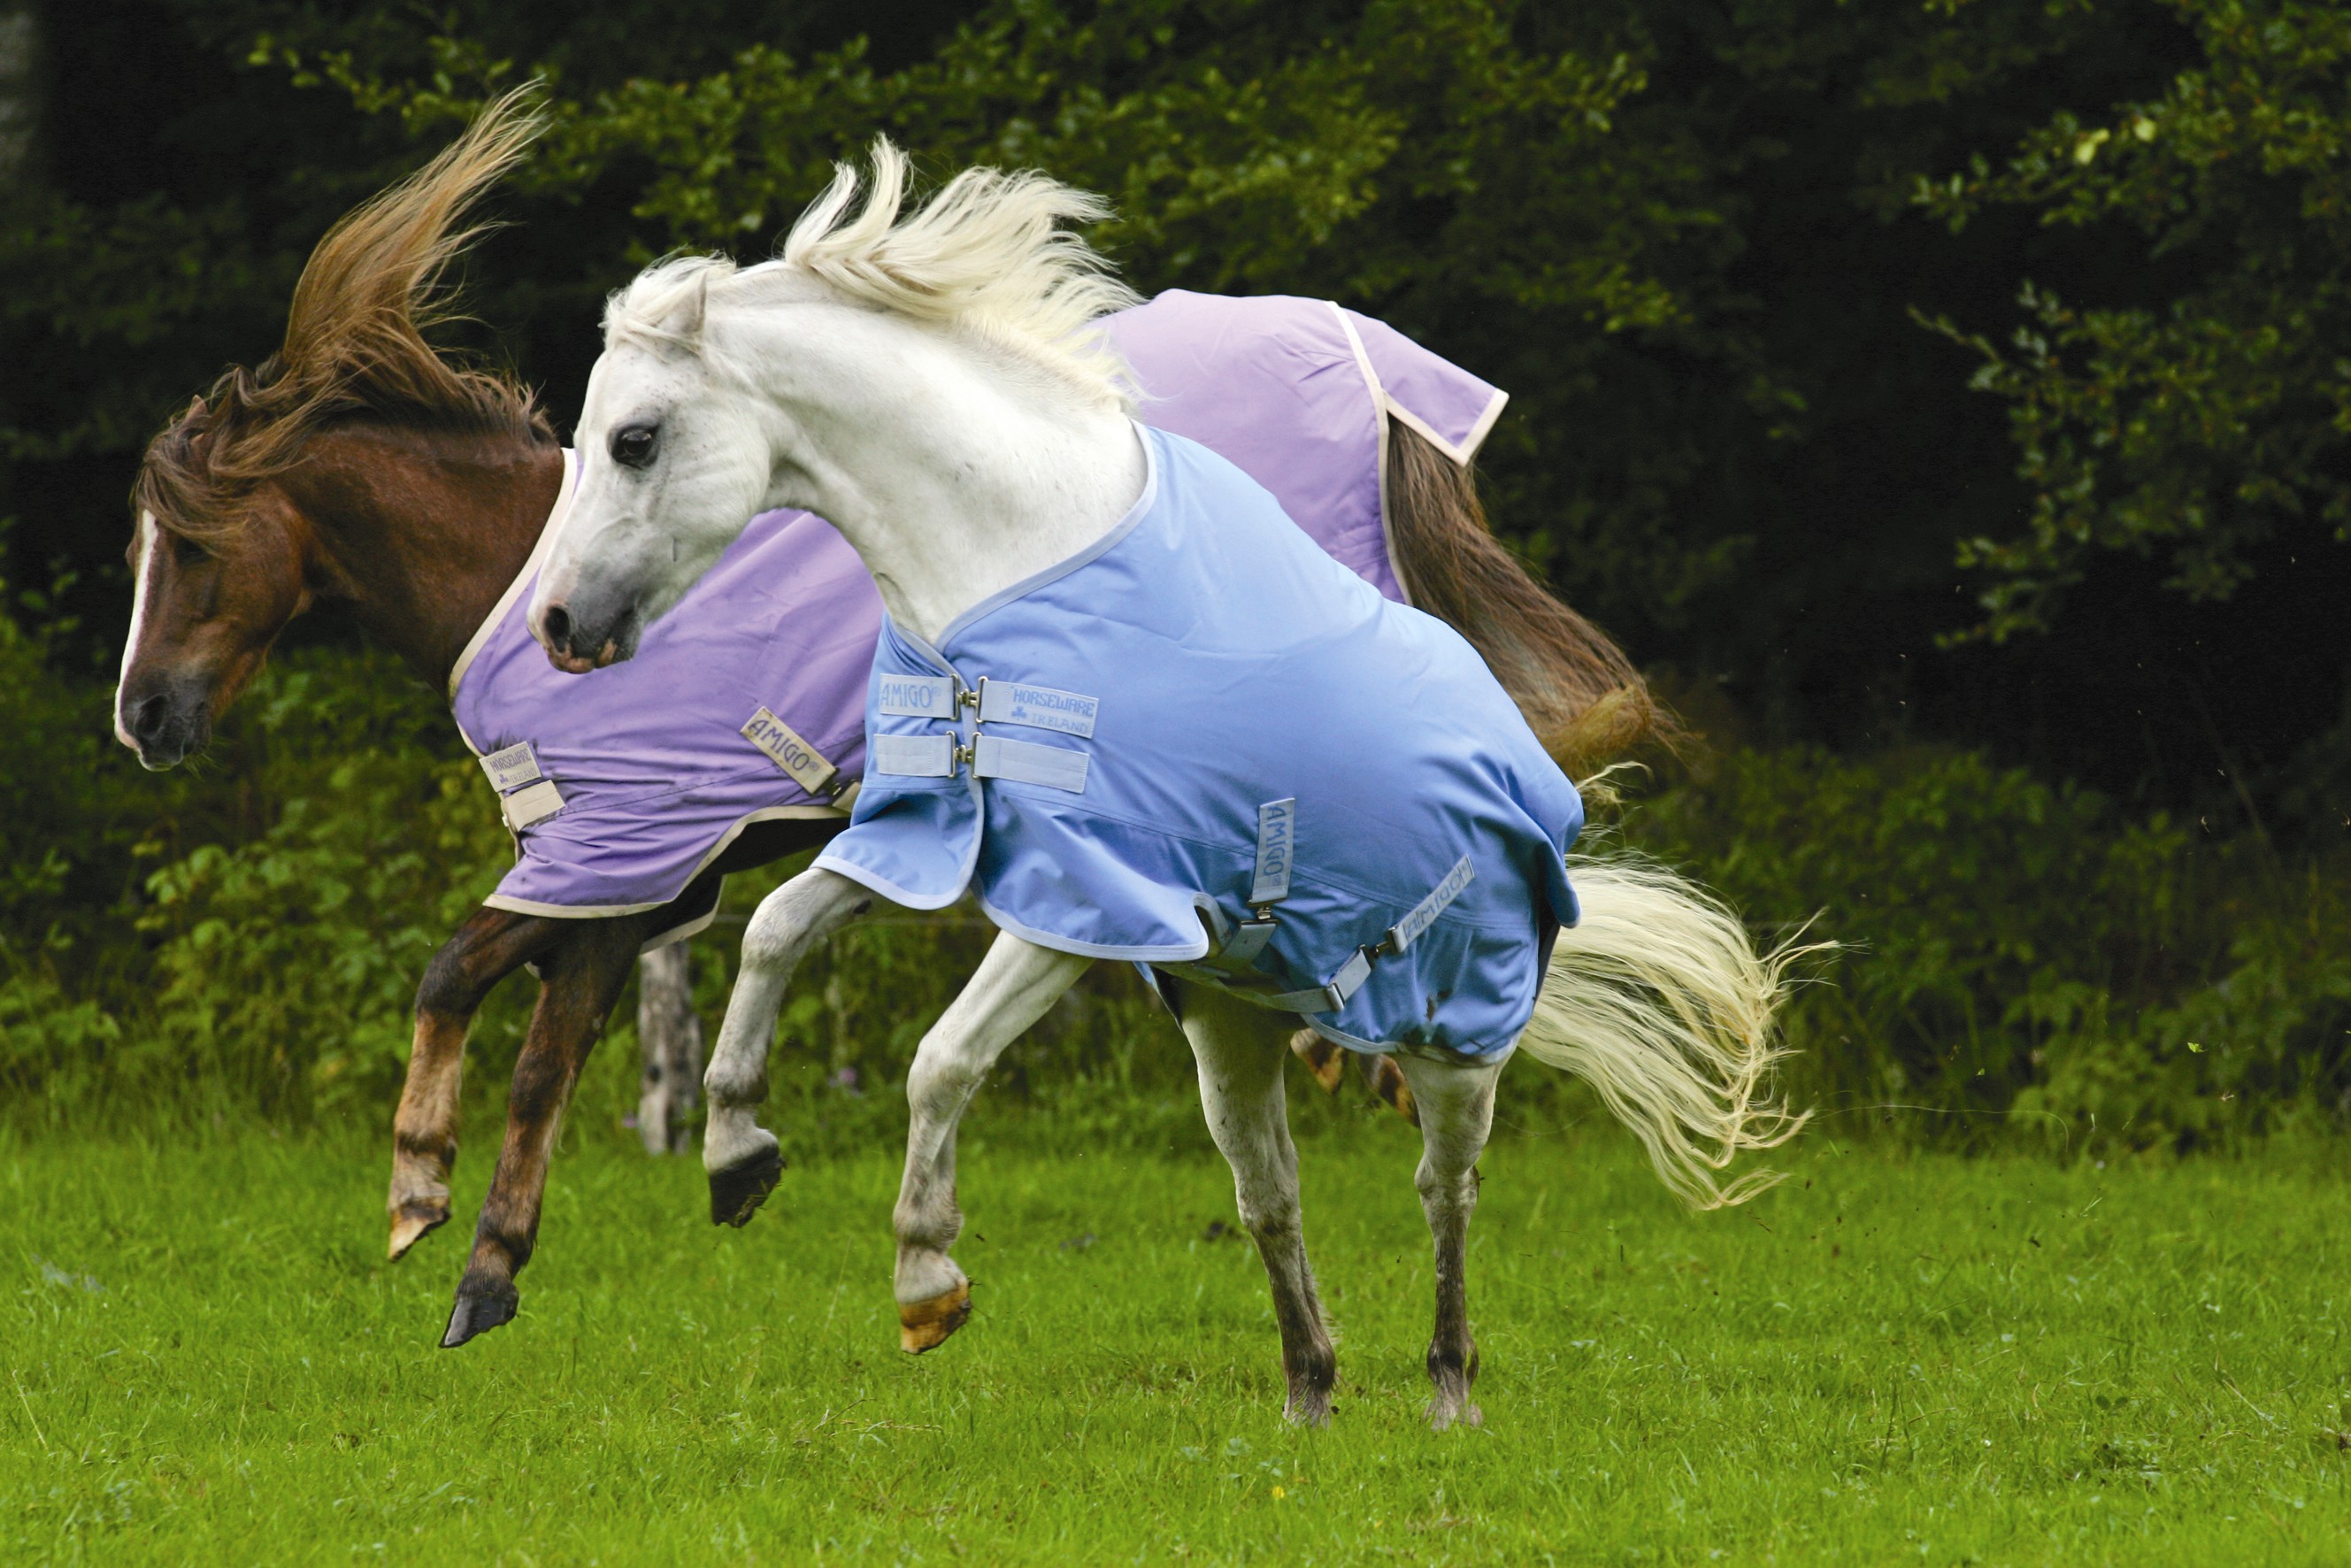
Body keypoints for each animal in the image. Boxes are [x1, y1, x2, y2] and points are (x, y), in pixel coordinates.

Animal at [114, 99, 1667, 1354]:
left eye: (188, 545)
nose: (142, 716)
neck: (510, 566)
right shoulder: (639, 886)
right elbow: (534, 999)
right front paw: (513, 1216)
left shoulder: (620, 869)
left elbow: (500, 1020)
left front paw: (457, 1238)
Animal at [529, 139, 1805, 1427]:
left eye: (635, 438)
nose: (559, 625)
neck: (1015, 555)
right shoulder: (932, 833)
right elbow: (776, 930)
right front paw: (736, 1153)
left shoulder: (1088, 900)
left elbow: (940, 1059)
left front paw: (927, 1277)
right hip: (1231, 1030)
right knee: (1271, 1194)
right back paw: (1306, 1394)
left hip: (1455, 1046)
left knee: (1444, 1191)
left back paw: (1448, 1391)